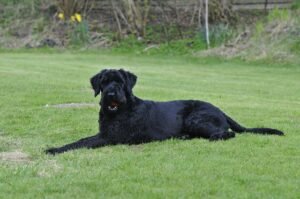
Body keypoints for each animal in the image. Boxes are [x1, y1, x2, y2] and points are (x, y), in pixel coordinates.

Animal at [45, 69, 284, 155]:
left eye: (120, 81)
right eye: (104, 82)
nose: (111, 93)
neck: (120, 110)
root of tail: (221, 111)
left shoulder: (109, 137)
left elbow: (80, 143)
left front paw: (54, 149)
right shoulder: (105, 133)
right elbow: (81, 140)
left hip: (196, 119)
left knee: (228, 133)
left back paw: (214, 138)